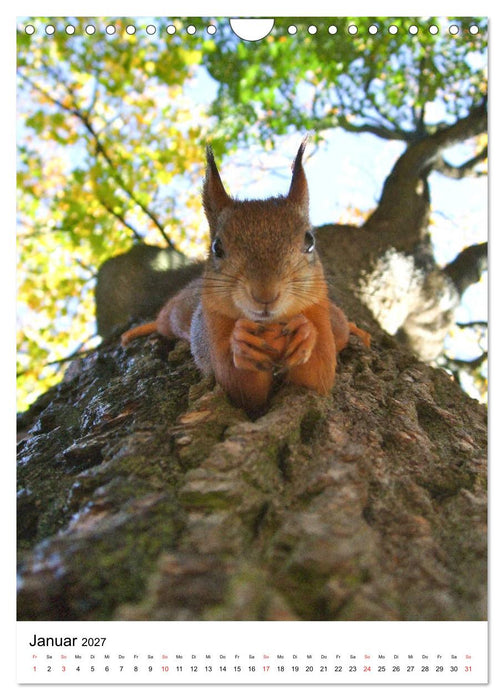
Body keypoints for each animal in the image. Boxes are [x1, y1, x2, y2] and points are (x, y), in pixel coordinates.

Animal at [121, 140, 370, 412]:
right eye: (217, 247)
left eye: (310, 241)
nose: (265, 294)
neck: (270, 326)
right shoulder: (213, 329)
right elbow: (241, 389)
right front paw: (241, 343)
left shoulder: (319, 315)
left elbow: (318, 377)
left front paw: (305, 333)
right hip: (177, 314)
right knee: (163, 321)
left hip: (335, 321)